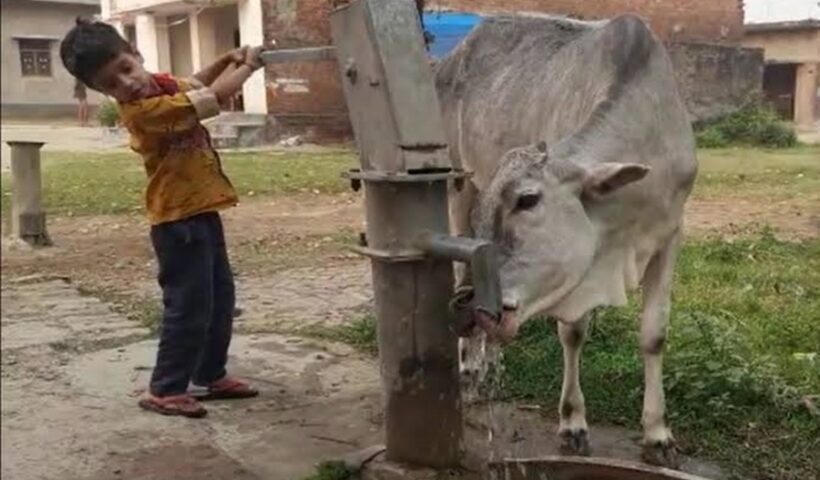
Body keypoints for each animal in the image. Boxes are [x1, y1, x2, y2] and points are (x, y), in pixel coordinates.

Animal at [436, 13, 700, 466]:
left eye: (527, 200)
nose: (468, 307)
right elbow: (573, 333)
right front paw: (573, 424)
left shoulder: (670, 234)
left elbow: (655, 334)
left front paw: (657, 434)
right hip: (459, 182)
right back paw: (469, 368)